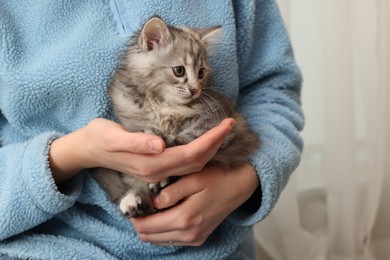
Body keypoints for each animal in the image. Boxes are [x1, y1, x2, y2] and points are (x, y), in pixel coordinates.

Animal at [93, 16, 260, 217]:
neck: (163, 104)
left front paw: (164, 167)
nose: (195, 90)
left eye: (201, 73)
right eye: (179, 70)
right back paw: (133, 200)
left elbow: (183, 138)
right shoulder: (134, 122)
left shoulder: (219, 124)